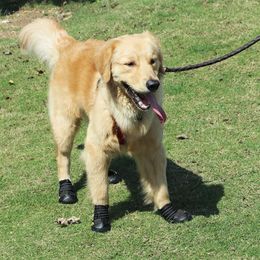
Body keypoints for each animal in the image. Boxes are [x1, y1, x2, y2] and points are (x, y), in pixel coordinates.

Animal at [19, 19, 191, 233]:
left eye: (153, 61)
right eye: (130, 64)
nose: (153, 84)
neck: (128, 115)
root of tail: (70, 45)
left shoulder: (153, 148)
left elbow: (160, 186)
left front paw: (168, 210)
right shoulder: (97, 145)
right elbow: (100, 191)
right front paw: (100, 218)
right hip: (65, 126)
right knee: (63, 156)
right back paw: (66, 189)